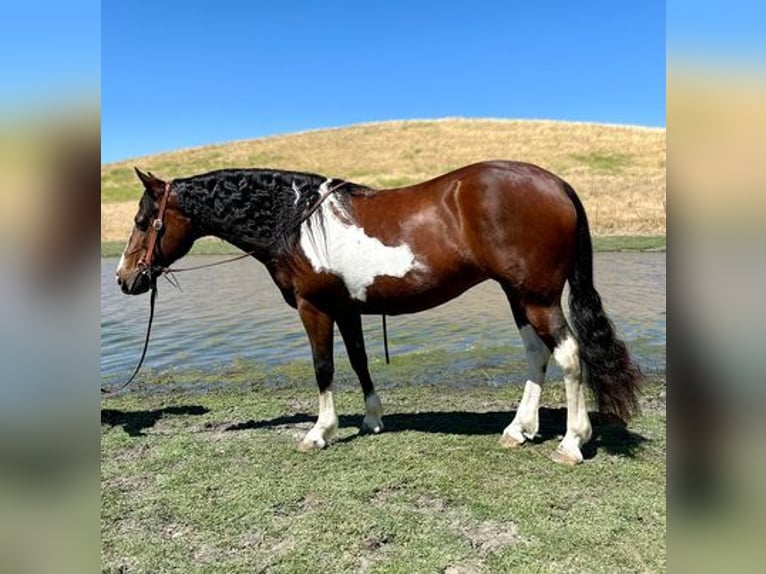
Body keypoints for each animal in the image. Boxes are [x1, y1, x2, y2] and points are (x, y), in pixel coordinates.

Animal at [115, 160, 640, 466]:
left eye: (143, 221)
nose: (124, 278)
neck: (295, 220)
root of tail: (557, 183)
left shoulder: (314, 309)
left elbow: (323, 367)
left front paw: (319, 432)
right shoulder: (346, 309)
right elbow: (359, 362)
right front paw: (371, 420)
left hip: (538, 297)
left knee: (569, 355)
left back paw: (572, 443)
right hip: (519, 296)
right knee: (537, 353)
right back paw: (518, 430)